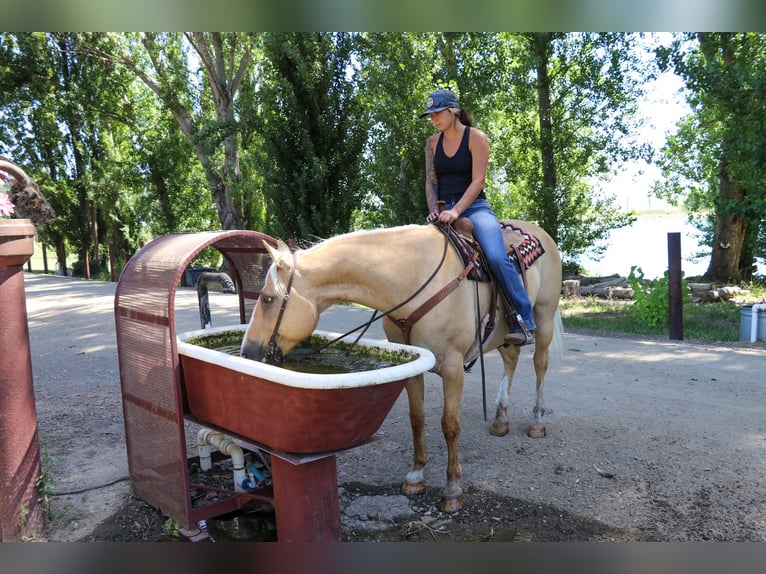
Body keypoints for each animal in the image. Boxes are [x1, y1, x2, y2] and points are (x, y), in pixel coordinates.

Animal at [240, 221, 563, 512]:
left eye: (267, 299)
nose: (247, 352)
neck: (415, 279)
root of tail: (540, 232)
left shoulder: (453, 367)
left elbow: (450, 425)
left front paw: (452, 489)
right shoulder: (414, 363)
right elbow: (416, 418)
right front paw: (416, 475)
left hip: (544, 318)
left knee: (540, 365)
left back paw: (536, 420)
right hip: (504, 335)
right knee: (511, 360)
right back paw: (500, 418)